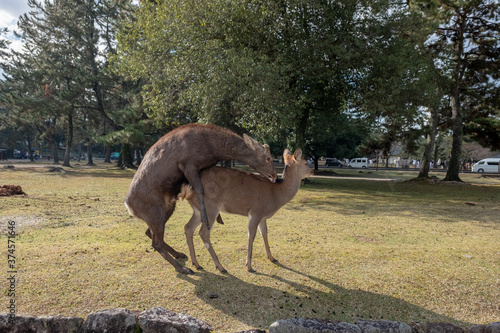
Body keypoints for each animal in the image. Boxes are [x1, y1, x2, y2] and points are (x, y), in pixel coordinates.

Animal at [123, 123, 276, 274]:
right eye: (268, 157)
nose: (274, 176)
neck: (212, 150)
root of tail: (129, 206)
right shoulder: (188, 164)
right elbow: (200, 190)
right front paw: (209, 221)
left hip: (167, 208)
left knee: (149, 232)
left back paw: (179, 254)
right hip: (155, 211)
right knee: (156, 243)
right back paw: (183, 268)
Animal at [182, 148, 310, 272]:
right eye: (305, 162)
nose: (312, 170)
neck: (275, 194)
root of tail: (187, 189)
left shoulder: (262, 217)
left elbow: (264, 233)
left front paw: (272, 257)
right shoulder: (255, 212)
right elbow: (251, 235)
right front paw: (249, 266)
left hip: (198, 210)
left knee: (188, 227)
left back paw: (196, 264)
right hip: (211, 206)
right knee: (203, 232)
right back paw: (220, 267)